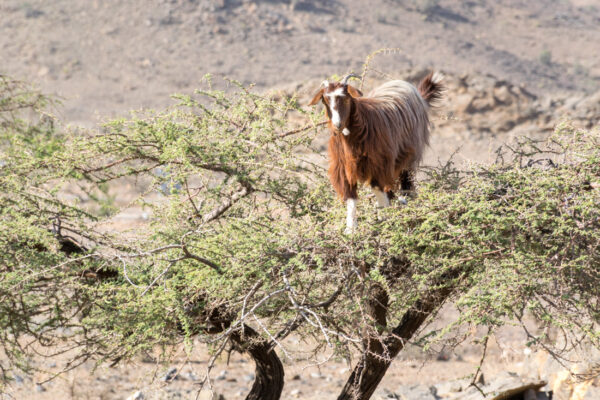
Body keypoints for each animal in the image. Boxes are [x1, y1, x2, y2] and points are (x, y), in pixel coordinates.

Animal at [310, 73, 446, 233]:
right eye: (325, 100)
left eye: (346, 97)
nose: (338, 125)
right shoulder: (344, 167)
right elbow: (350, 196)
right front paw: (350, 229)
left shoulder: (378, 163)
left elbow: (376, 187)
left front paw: (384, 215)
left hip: (409, 152)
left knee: (406, 179)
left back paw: (406, 203)